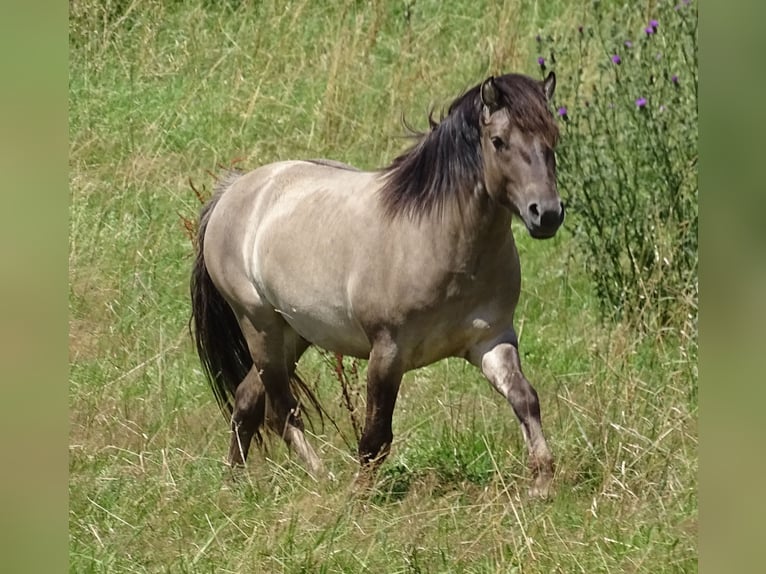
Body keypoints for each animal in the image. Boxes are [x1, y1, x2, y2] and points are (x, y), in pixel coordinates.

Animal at [190, 70, 564, 498]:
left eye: (554, 136)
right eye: (499, 141)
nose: (547, 214)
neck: (439, 241)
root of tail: (233, 191)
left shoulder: (493, 341)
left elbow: (525, 399)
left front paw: (541, 481)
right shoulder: (387, 351)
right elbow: (375, 436)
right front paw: (357, 496)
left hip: (292, 333)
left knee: (247, 399)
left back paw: (232, 484)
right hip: (259, 325)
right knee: (282, 410)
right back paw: (321, 478)